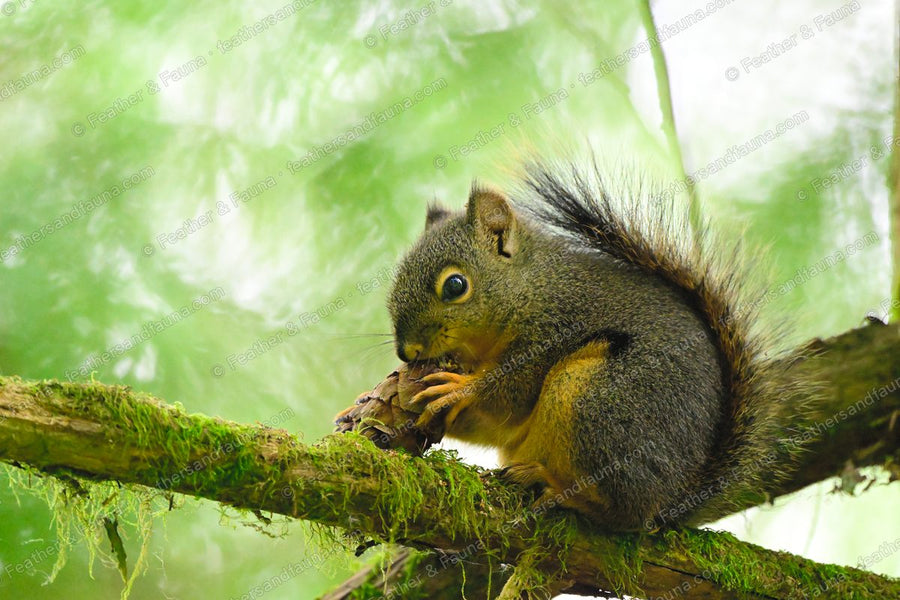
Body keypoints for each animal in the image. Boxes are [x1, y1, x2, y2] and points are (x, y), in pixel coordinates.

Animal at [386, 164, 803, 531]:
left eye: (455, 285)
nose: (407, 352)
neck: (533, 288)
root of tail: (674, 499)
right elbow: (493, 426)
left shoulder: (554, 329)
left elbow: (511, 393)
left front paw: (460, 389)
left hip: (596, 400)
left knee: (624, 514)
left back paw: (558, 488)